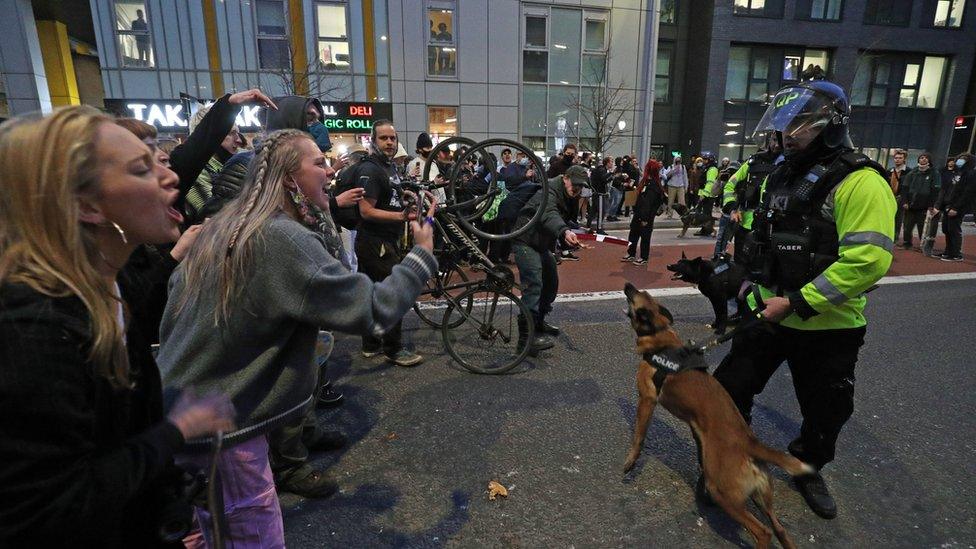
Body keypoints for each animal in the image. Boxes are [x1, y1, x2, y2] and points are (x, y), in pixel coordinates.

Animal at [620, 280, 812, 544]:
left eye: (636, 296)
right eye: (642, 292)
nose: (628, 284)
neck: (659, 337)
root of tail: (750, 443)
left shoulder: (647, 400)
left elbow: (638, 438)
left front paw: (630, 463)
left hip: (722, 491)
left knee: (762, 532)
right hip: (761, 498)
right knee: (780, 530)